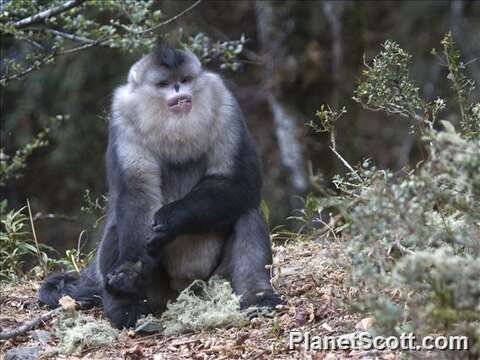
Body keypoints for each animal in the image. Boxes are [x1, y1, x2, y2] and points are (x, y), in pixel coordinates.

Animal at [41, 43, 284, 330]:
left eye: (185, 80)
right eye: (164, 84)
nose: (179, 90)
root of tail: (188, 288)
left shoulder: (225, 105)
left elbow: (239, 181)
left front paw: (171, 219)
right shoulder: (123, 118)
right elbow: (138, 192)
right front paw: (129, 275)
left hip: (215, 280)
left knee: (246, 211)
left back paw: (258, 297)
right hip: (159, 292)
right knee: (117, 228)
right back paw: (128, 310)